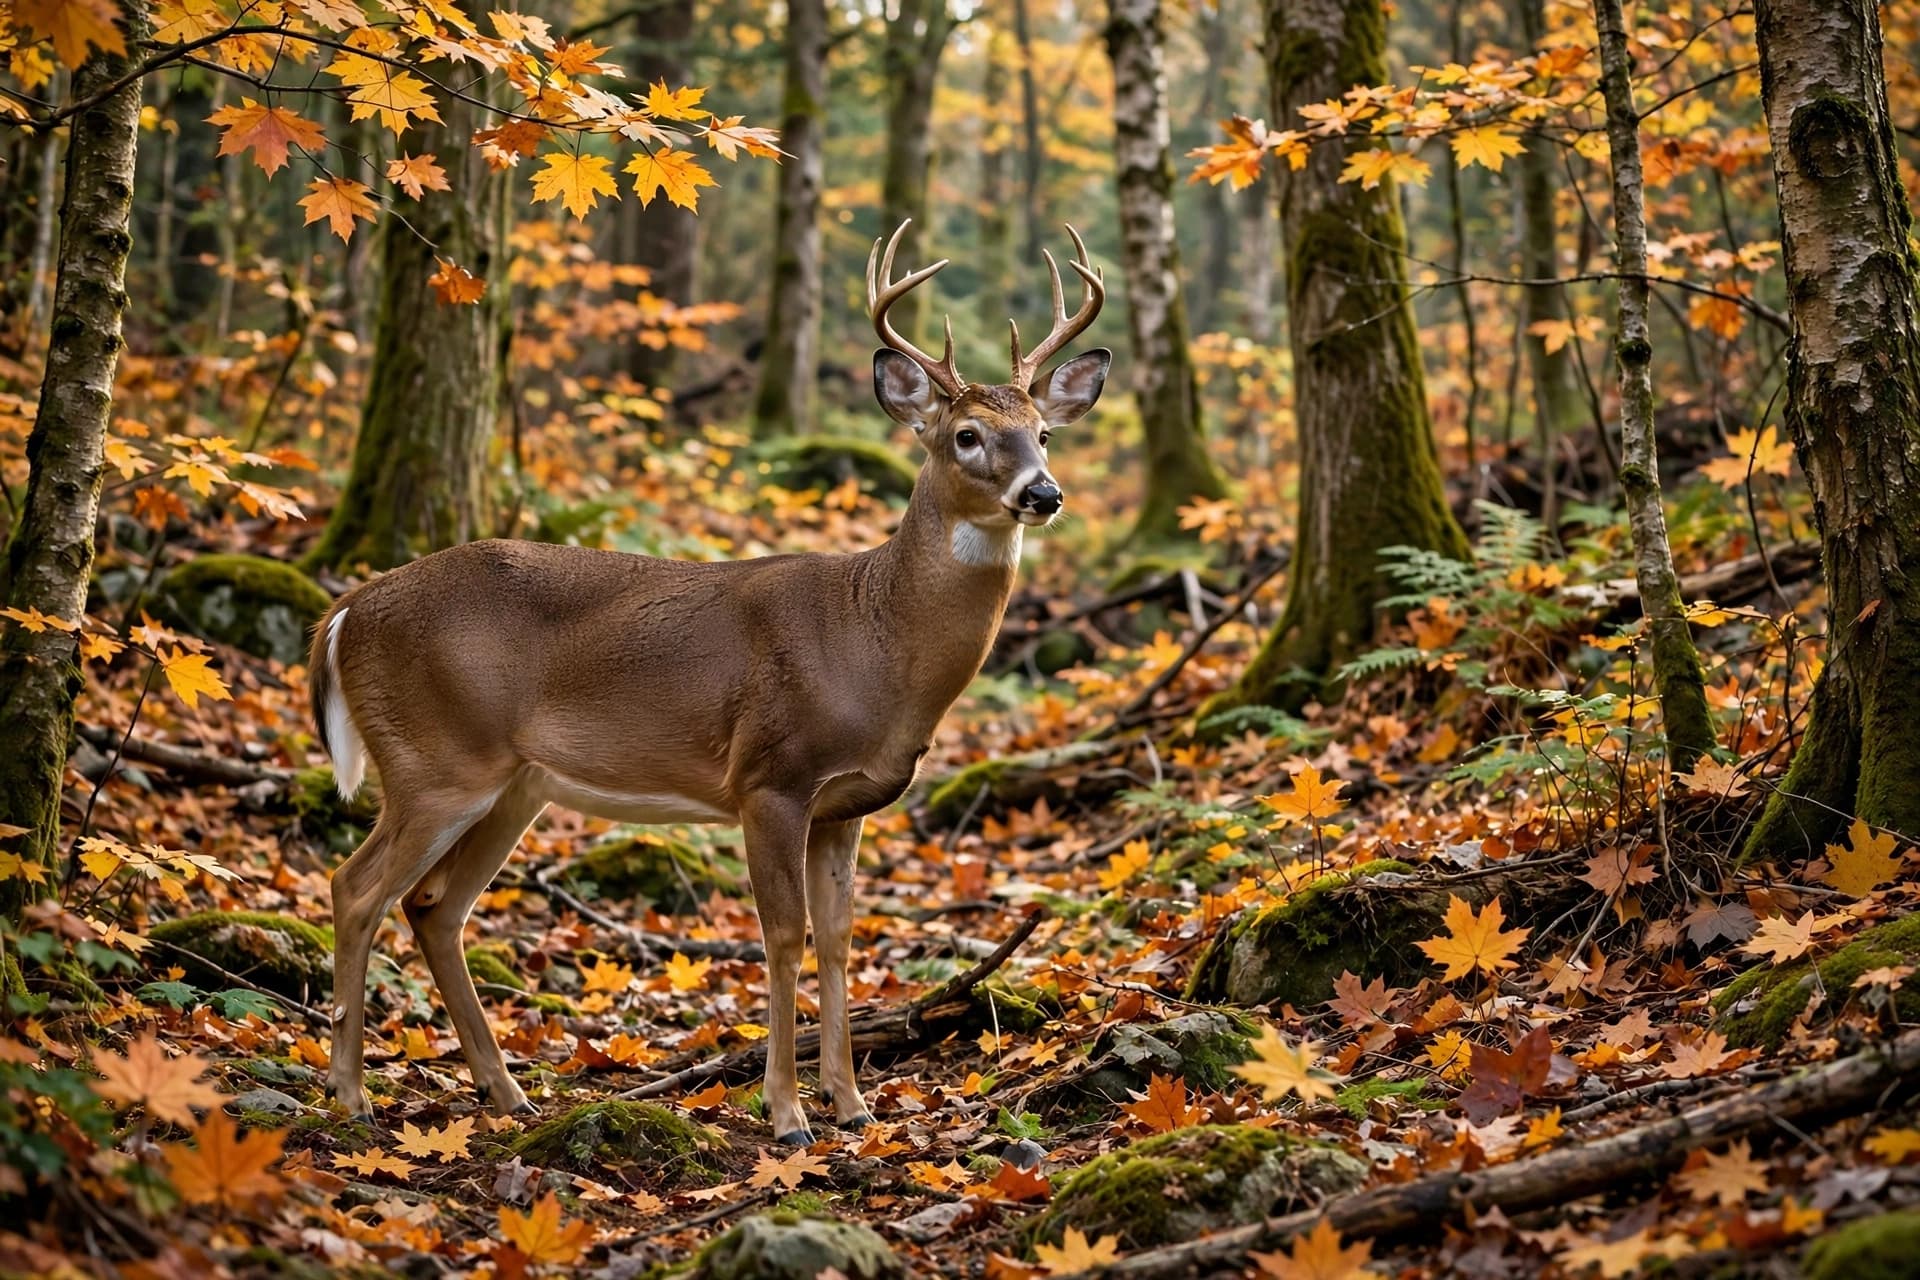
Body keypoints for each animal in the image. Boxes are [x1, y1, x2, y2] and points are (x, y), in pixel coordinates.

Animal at [309, 220, 1109, 1143]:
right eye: (967, 436)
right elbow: (785, 936)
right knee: (356, 888)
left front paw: (851, 1103)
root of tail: (345, 612)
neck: (874, 639)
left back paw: (506, 1092)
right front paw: (788, 1112)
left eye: (1044, 432)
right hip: (435, 760)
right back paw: (352, 1094)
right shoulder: (770, 777)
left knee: (435, 907)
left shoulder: (847, 804)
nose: (1043, 493)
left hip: (512, 785)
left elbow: (841, 939)